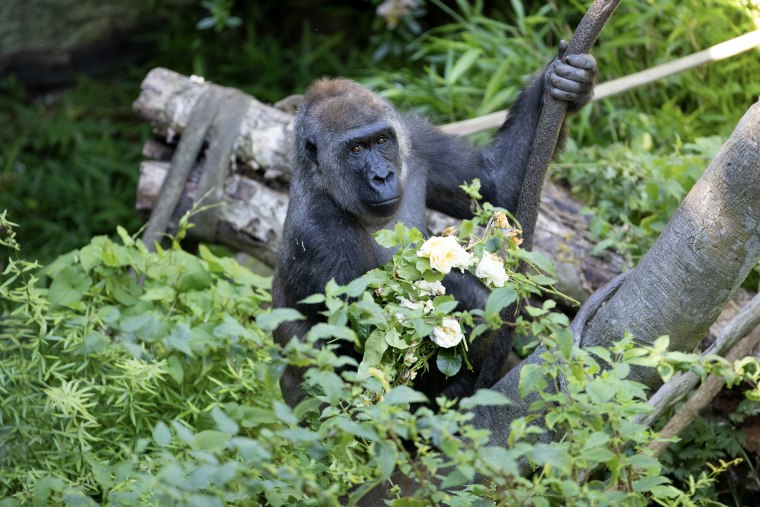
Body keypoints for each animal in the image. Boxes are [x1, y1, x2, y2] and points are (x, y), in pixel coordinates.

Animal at [272, 44, 597, 407]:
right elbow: (364, 357)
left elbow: (496, 182)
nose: (382, 176)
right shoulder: (319, 237)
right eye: (355, 148)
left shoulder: (414, 136)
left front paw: (560, 80)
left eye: (382, 140)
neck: (324, 184)